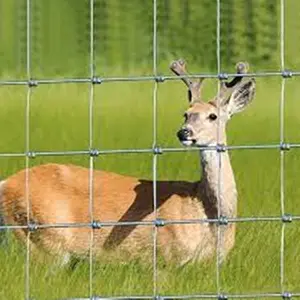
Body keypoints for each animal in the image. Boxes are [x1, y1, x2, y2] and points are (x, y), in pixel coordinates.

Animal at [0, 59, 255, 266]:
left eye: (213, 116)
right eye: (186, 113)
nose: (184, 132)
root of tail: (5, 183)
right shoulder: (165, 258)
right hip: (42, 237)